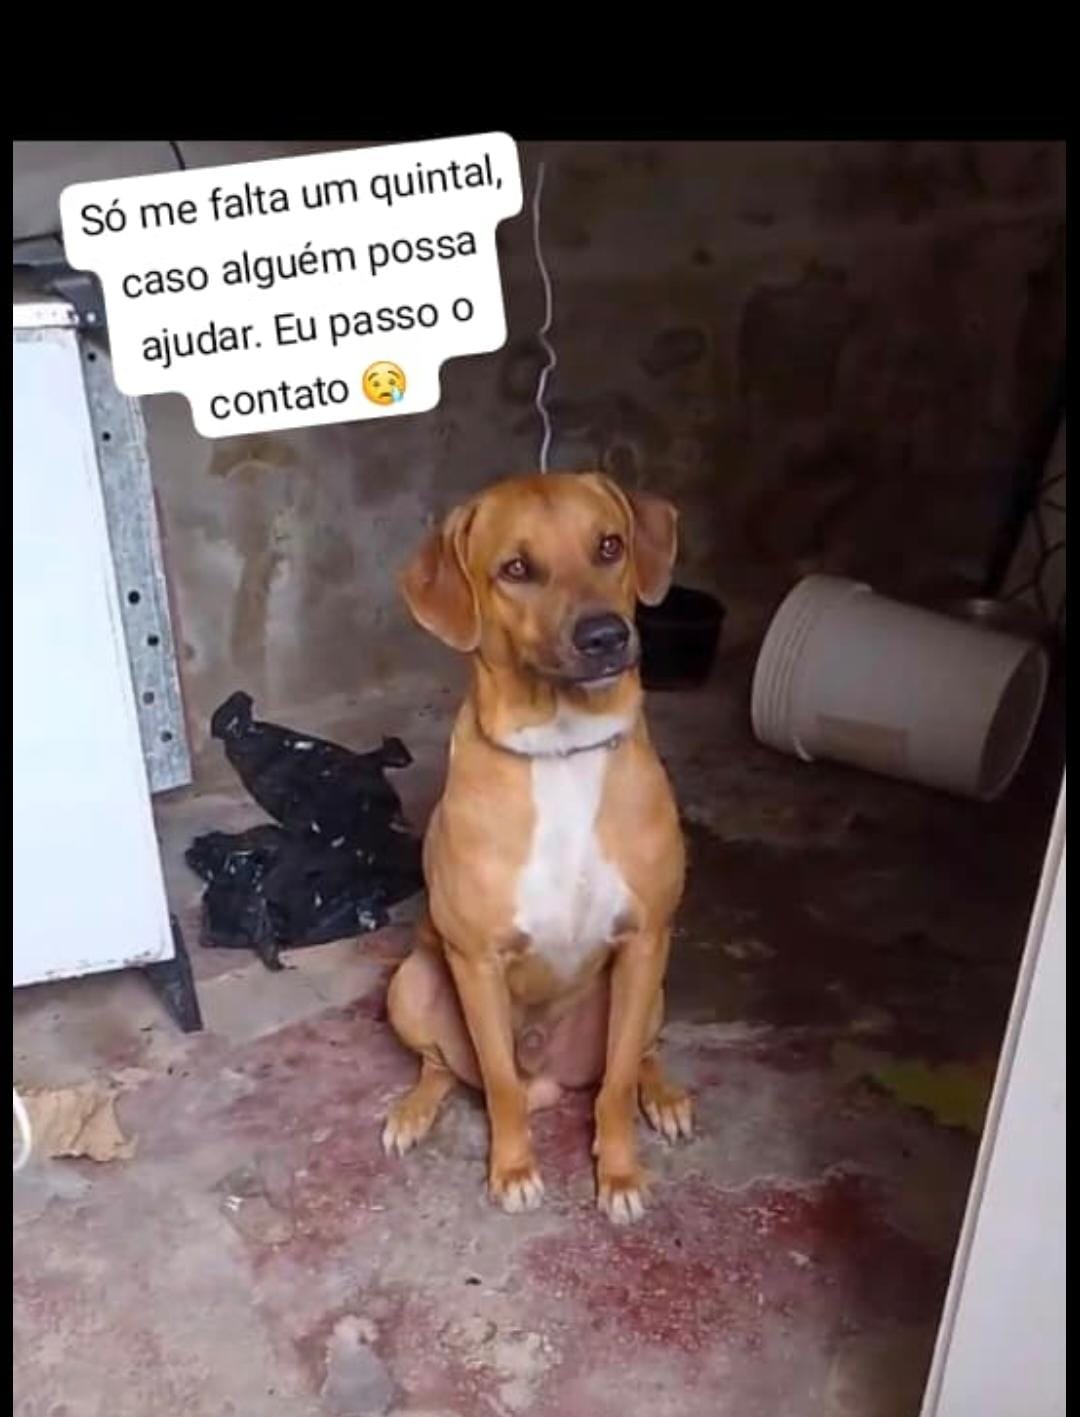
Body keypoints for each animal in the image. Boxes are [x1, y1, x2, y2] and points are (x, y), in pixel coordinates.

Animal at [382, 471, 691, 1223]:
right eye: (516, 569)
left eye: (609, 546)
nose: (606, 635)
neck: (562, 751)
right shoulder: (476, 962)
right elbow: (498, 1082)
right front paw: (514, 1168)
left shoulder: (645, 940)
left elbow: (614, 1084)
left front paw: (619, 1174)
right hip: (410, 985)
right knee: (442, 1065)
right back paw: (413, 1109)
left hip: (655, 990)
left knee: (640, 1054)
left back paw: (664, 1095)